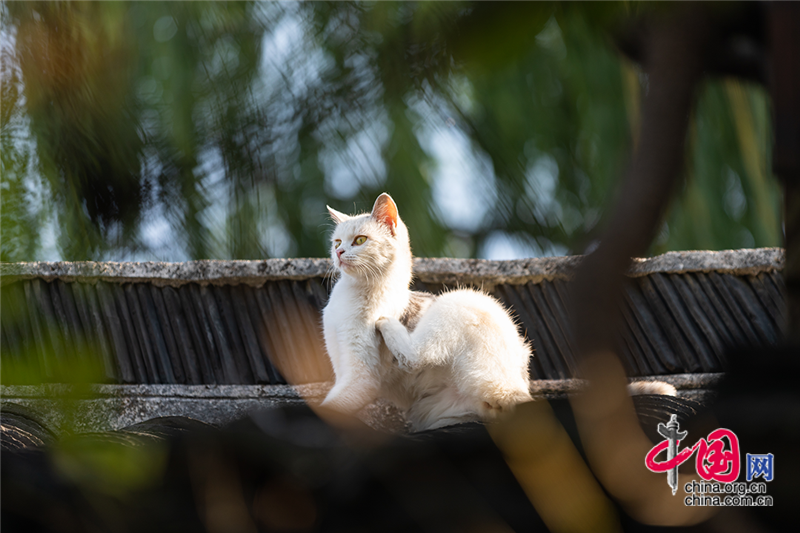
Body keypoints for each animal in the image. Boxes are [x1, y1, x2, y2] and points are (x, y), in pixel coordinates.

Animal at [320, 193, 533, 431]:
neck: (352, 294)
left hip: (460, 300)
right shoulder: (341, 369)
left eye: (359, 240)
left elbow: (331, 406)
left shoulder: (362, 378)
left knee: (415, 357)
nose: (338, 252)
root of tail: (516, 385)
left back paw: (386, 323)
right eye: (337, 242)